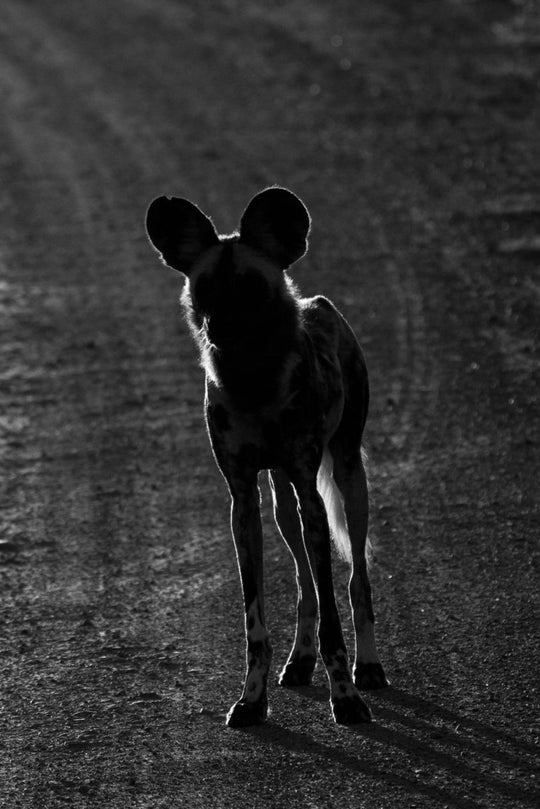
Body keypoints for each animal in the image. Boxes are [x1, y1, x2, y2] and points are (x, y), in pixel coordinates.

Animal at [143, 188, 388, 724]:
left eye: (251, 287)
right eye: (205, 288)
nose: (219, 327)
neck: (252, 381)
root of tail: (320, 304)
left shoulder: (313, 493)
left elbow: (334, 615)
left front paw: (346, 699)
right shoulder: (243, 503)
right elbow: (256, 622)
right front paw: (252, 700)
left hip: (345, 479)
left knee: (355, 581)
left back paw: (368, 667)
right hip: (281, 503)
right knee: (304, 584)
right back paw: (300, 661)